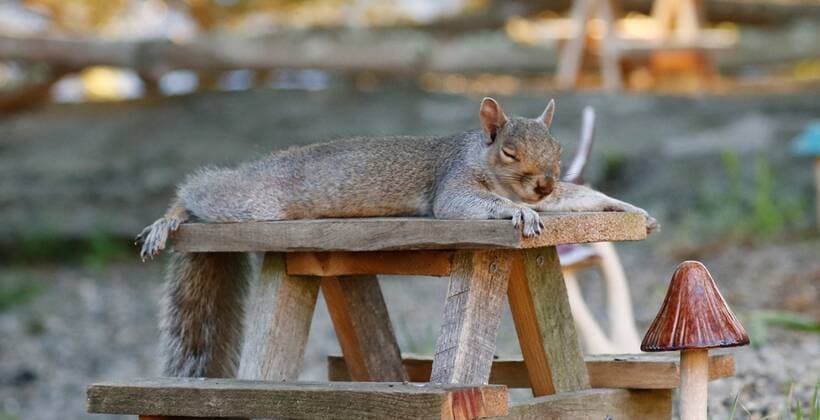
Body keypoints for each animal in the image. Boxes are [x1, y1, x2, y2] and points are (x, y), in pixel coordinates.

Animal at [137, 97, 658, 377]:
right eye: (510, 152)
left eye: (558, 148)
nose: (545, 185)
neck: (479, 157)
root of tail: (264, 165)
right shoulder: (452, 188)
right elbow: (469, 205)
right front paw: (519, 212)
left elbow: (582, 197)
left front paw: (629, 209)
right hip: (257, 202)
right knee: (200, 190)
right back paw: (169, 219)